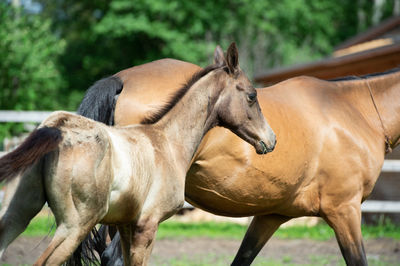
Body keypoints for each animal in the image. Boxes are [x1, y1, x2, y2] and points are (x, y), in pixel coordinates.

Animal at [76, 48, 398, 266]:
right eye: (252, 96)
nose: (272, 140)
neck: (357, 112)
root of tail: (121, 79)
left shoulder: (272, 214)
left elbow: (242, 258)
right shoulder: (345, 210)